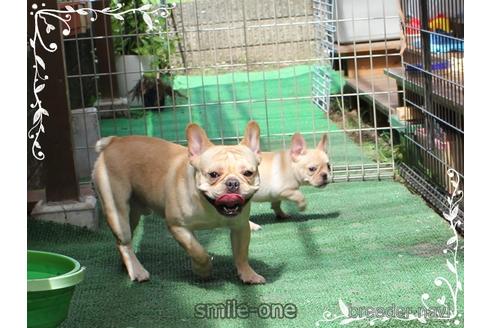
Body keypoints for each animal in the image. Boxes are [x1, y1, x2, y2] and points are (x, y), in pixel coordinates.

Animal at [94, 121, 268, 284]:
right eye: (213, 174)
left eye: (248, 173)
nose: (232, 183)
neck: (209, 205)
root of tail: (114, 141)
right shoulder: (178, 227)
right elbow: (198, 251)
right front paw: (203, 270)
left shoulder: (240, 227)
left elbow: (241, 253)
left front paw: (248, 274)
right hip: (117, 211)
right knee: (124, 242)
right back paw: (137, 270)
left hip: (133, 215)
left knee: (122, 241)